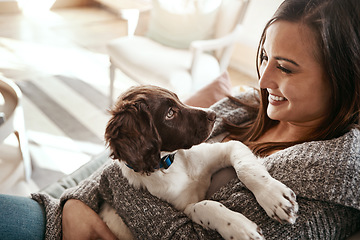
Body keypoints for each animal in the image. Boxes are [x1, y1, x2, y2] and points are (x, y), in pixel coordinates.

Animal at [99, 85, 298, 240]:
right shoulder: (183, 209)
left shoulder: (229, 147)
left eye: (178, 99)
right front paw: (240, 228)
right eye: (170, 113)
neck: (174, 164)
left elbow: (246, 168)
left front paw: (275, 198)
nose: (213, 114)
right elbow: (204, 206)